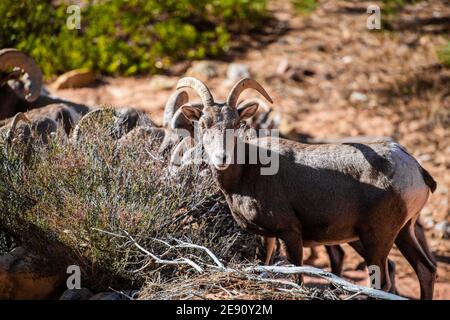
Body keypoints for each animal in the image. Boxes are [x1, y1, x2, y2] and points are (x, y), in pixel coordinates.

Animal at [178, 77, 436, 300]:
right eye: (204, 124)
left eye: (236, 124)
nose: (222, 157)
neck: (248, 172)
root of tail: (415, 169)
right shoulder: (267, 237)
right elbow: (264, 266)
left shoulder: (290, 234)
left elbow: (298, 280)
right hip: (403, 233)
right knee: (426, 270)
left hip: (377, 238)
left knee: (381, 283)